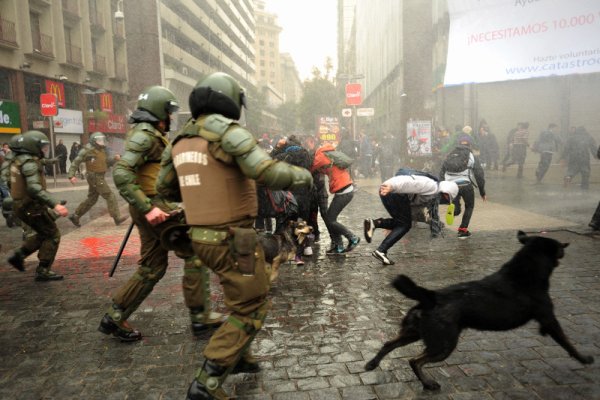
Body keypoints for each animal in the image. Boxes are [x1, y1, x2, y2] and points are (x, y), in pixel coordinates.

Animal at [366, 231, 596, 390]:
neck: (523, 272)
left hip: (413, 332)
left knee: (389, 344)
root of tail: (431, 296)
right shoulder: (549, 318)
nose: (565, 247)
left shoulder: (545, 320)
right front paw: (584, 359)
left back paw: (372, 363)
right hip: (444, 344)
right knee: (415, 360)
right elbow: (568, 343)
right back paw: (428, 384)